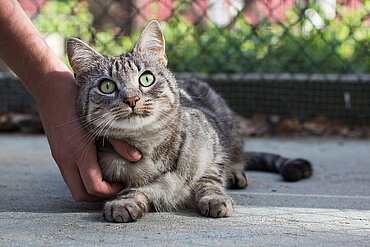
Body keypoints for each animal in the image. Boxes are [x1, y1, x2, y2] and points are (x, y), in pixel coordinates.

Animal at [67, 20, 312, 223]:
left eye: (146, 79)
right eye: (107, 86)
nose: (131, 99)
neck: (148, 146)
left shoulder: (214, 144)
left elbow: (210, 179)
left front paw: (214, 198)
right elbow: (134, 190)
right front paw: (124, 203)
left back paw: (234, 173)